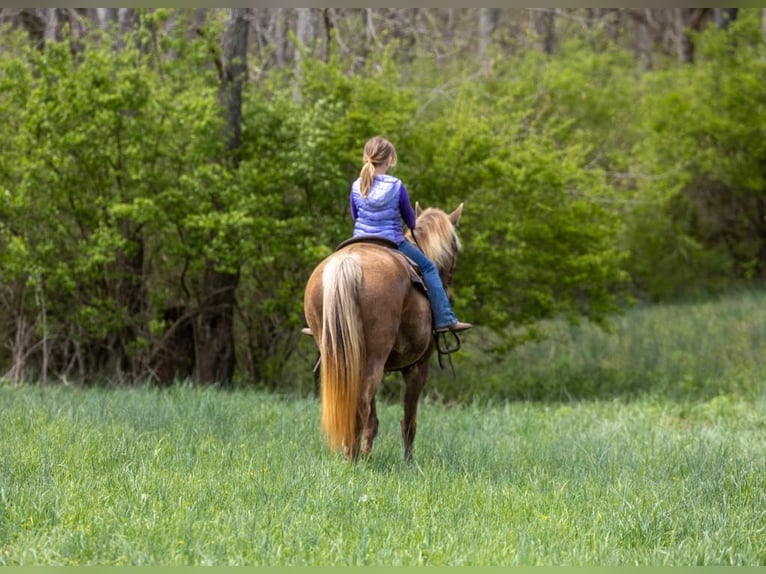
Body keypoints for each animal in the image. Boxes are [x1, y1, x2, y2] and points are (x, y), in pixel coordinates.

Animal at [303, 202, 465, 460]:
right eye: (455, 247)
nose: (448, 288)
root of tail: (348, 263)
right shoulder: (418, 367)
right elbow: (408, 421)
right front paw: (408, 461)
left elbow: (374, 420)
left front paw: (368, 456)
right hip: (373, 359)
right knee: (360, 403)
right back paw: (352, 459)